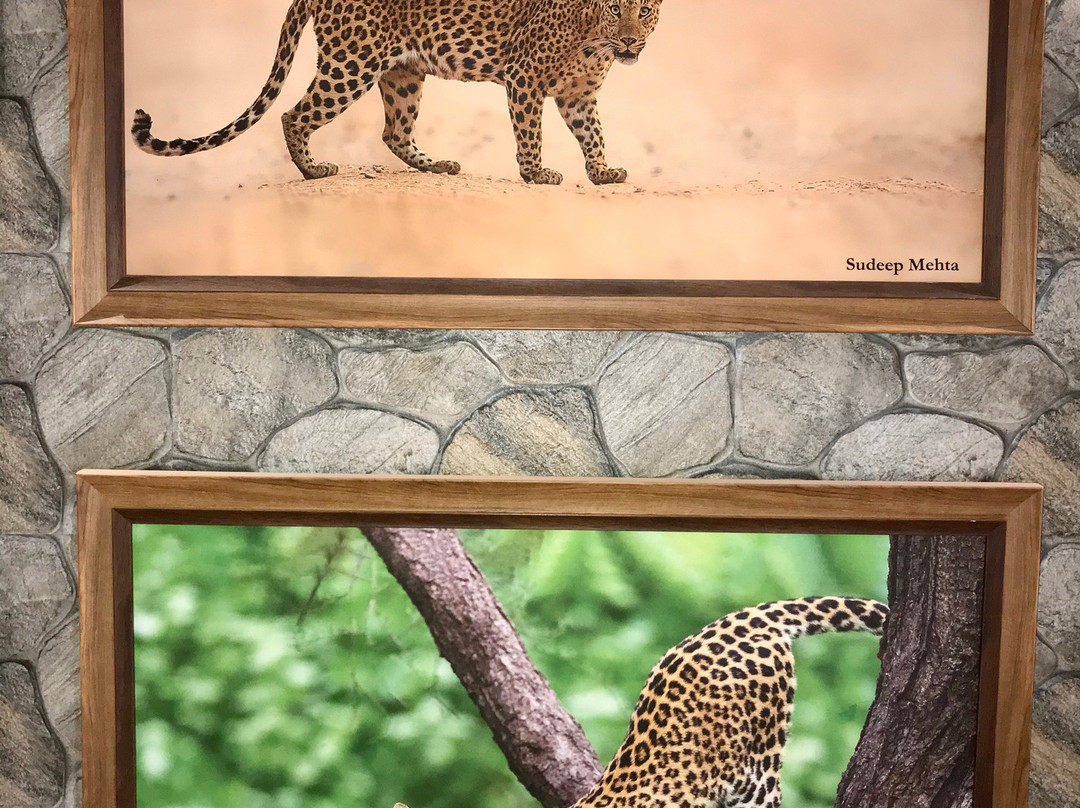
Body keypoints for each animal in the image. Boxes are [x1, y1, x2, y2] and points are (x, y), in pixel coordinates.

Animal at [130, 0, 666, 185]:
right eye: (617, 8)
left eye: (644, 10)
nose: (631, 41)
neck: (596, 39)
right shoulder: (525, 79)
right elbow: (530, 134)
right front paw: (537, 174)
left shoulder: (579, 97)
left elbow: (593, 134)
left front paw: (601, 171)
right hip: (351, 65)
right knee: (293, 115)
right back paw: (314, 171)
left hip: (403, 75)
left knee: (393, 133)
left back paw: (437, 165)